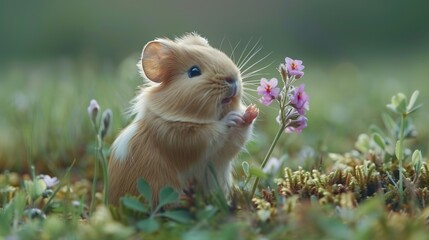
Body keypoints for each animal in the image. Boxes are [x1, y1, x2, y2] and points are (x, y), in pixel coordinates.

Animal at [108, 32, 260, 205]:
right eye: (194, 71)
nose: (233, 79)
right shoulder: (177, 138)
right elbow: (211, 131)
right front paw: (232, 117)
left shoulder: (224, 152)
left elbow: (237, 138)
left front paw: (251, 111)